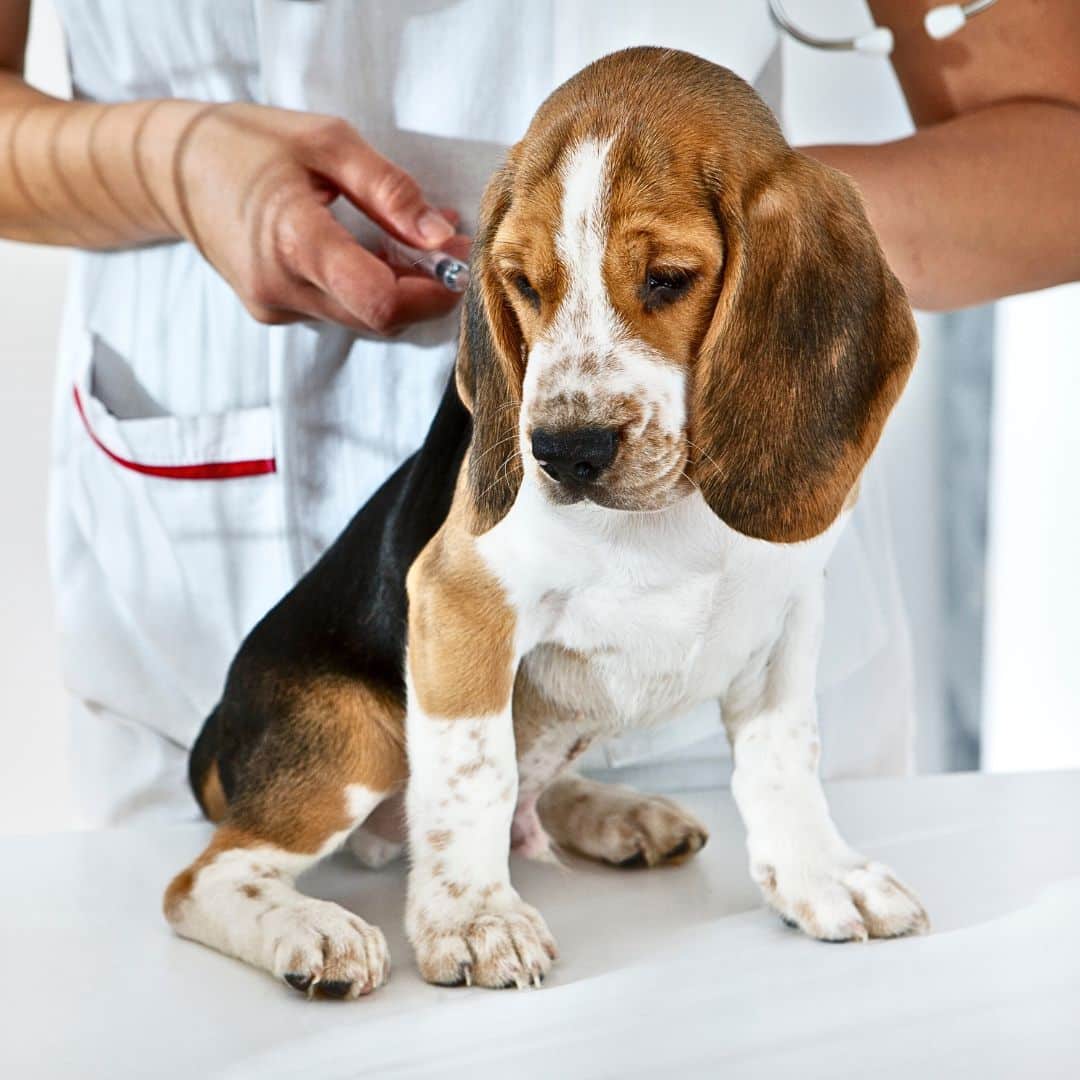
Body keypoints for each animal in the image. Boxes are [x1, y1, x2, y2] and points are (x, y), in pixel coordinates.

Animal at [164, 48, 924, 993]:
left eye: (668, 279)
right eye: (522, 284)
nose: (564, 451)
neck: (667, 512)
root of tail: (215, 740)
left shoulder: (786, 608)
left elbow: (785, 757)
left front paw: (820, 874)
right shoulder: (461, 601)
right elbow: (473, 774)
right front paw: (474, 919)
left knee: (540, 782)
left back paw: (612, 811)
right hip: (350, 737)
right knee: (206, 879)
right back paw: (312, 929)